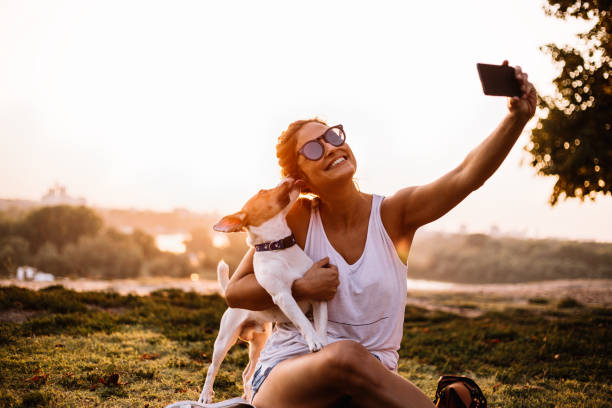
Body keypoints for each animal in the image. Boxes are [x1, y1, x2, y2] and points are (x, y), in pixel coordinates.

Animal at [198, 177, 328, 404]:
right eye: (262, 191)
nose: (289, 177)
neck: (279, 247)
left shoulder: (318, 294)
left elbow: (320, 325)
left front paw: (322, 342)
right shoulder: (283, 295)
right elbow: (302, 321)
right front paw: (313, 340)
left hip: (260, 341)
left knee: (247, 373)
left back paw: (247, 395)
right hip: (224, 340)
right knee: (213, 368)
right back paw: (205, 396)